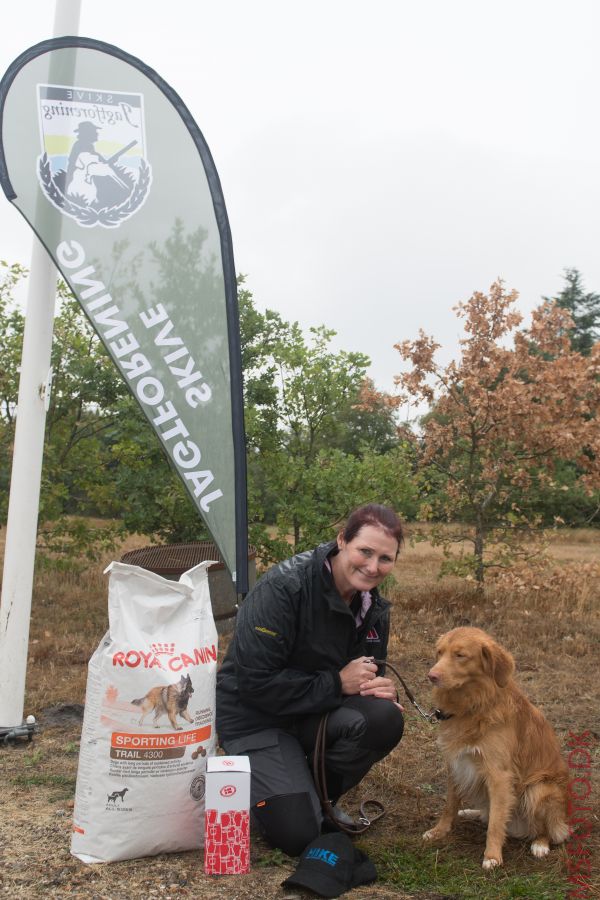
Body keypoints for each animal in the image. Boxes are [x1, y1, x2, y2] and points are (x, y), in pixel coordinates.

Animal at [422, 628, 568, 868]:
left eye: (460, 655)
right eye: (439, 653)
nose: (431, 676)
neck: (473, 705)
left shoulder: (498, 774)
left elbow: (496, 822)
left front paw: (492, 856)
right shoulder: (456, 764)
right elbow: (450, 804)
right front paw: (439, 831)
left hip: (539, 789)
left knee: (550, 829)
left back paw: (540, 844)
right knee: (486, 812)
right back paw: (470, 812)